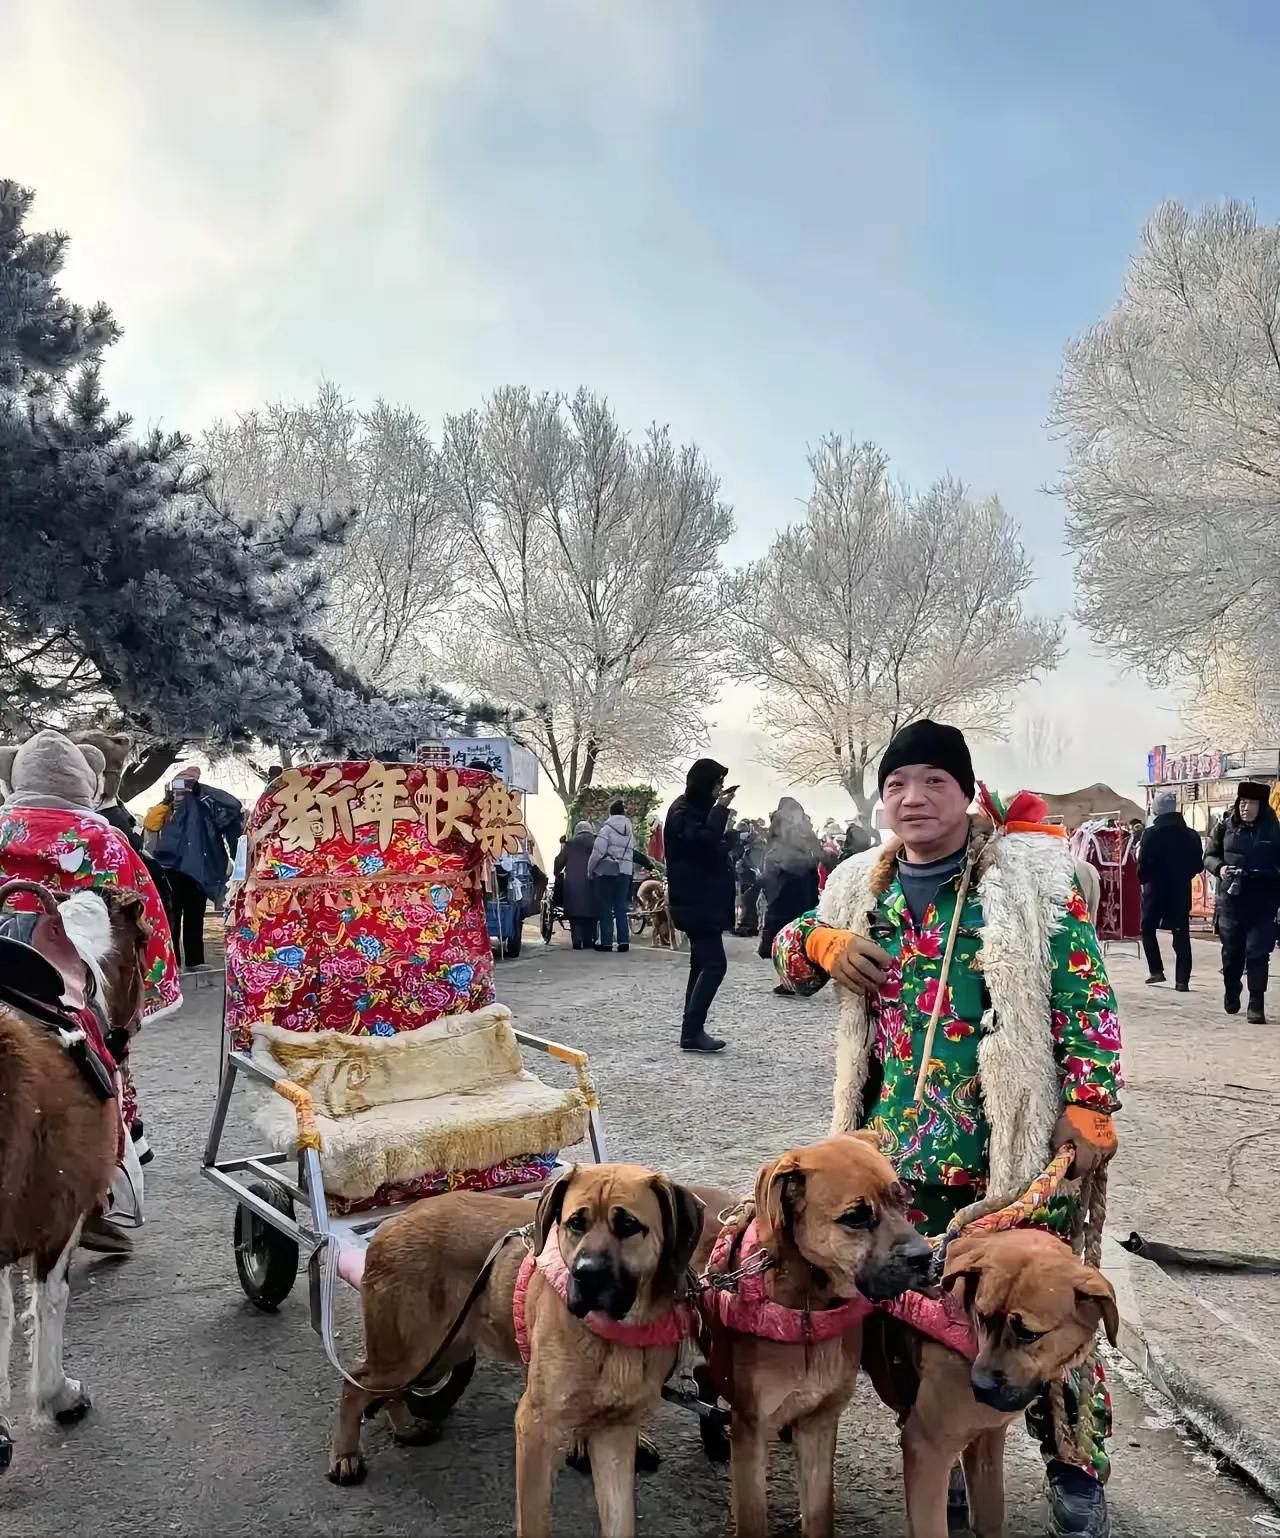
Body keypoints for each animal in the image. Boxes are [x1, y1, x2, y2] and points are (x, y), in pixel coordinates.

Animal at [329, 1162, 710, 1538]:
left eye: (629, 1225)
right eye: (576, 1223)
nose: (584, 1275)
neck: (615, 1334)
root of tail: (392, 1222)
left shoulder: (614, 1436)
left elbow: (620, 1520)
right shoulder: (535, 1428)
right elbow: (535, 1519)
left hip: (444, 1349)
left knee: (386, 1390)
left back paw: (405, 1428)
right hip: (416, 1352)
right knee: (355, 1385)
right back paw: (346, 1456)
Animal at [710, 1131, 929, 1538]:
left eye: (903, 1198)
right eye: (856, 1217)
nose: (926, 1258)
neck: (810, 1306)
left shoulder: (820, 1427)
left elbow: (818, 1512)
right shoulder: (750, 1432)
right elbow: (752, 1517)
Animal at [873, 1224, 1113, 1538]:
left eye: (1029, 1334)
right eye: (983, 1316)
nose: (981, 1386)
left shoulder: (988, 1438)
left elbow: (991, 1514)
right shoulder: (927, 1448)